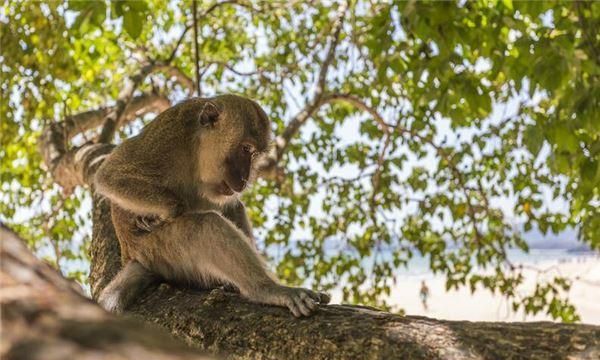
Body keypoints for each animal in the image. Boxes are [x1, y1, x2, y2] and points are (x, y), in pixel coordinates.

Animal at [94, 95, 330, 318]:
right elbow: (109, 176)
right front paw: (166, 212)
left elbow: (233, 206)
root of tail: (131, 256)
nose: (244, 179)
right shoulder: (167, 137)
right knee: (206, 225)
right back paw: (265, 289)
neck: (196, 151)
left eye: (253, 154)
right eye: (246, 148)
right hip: (155, 251)